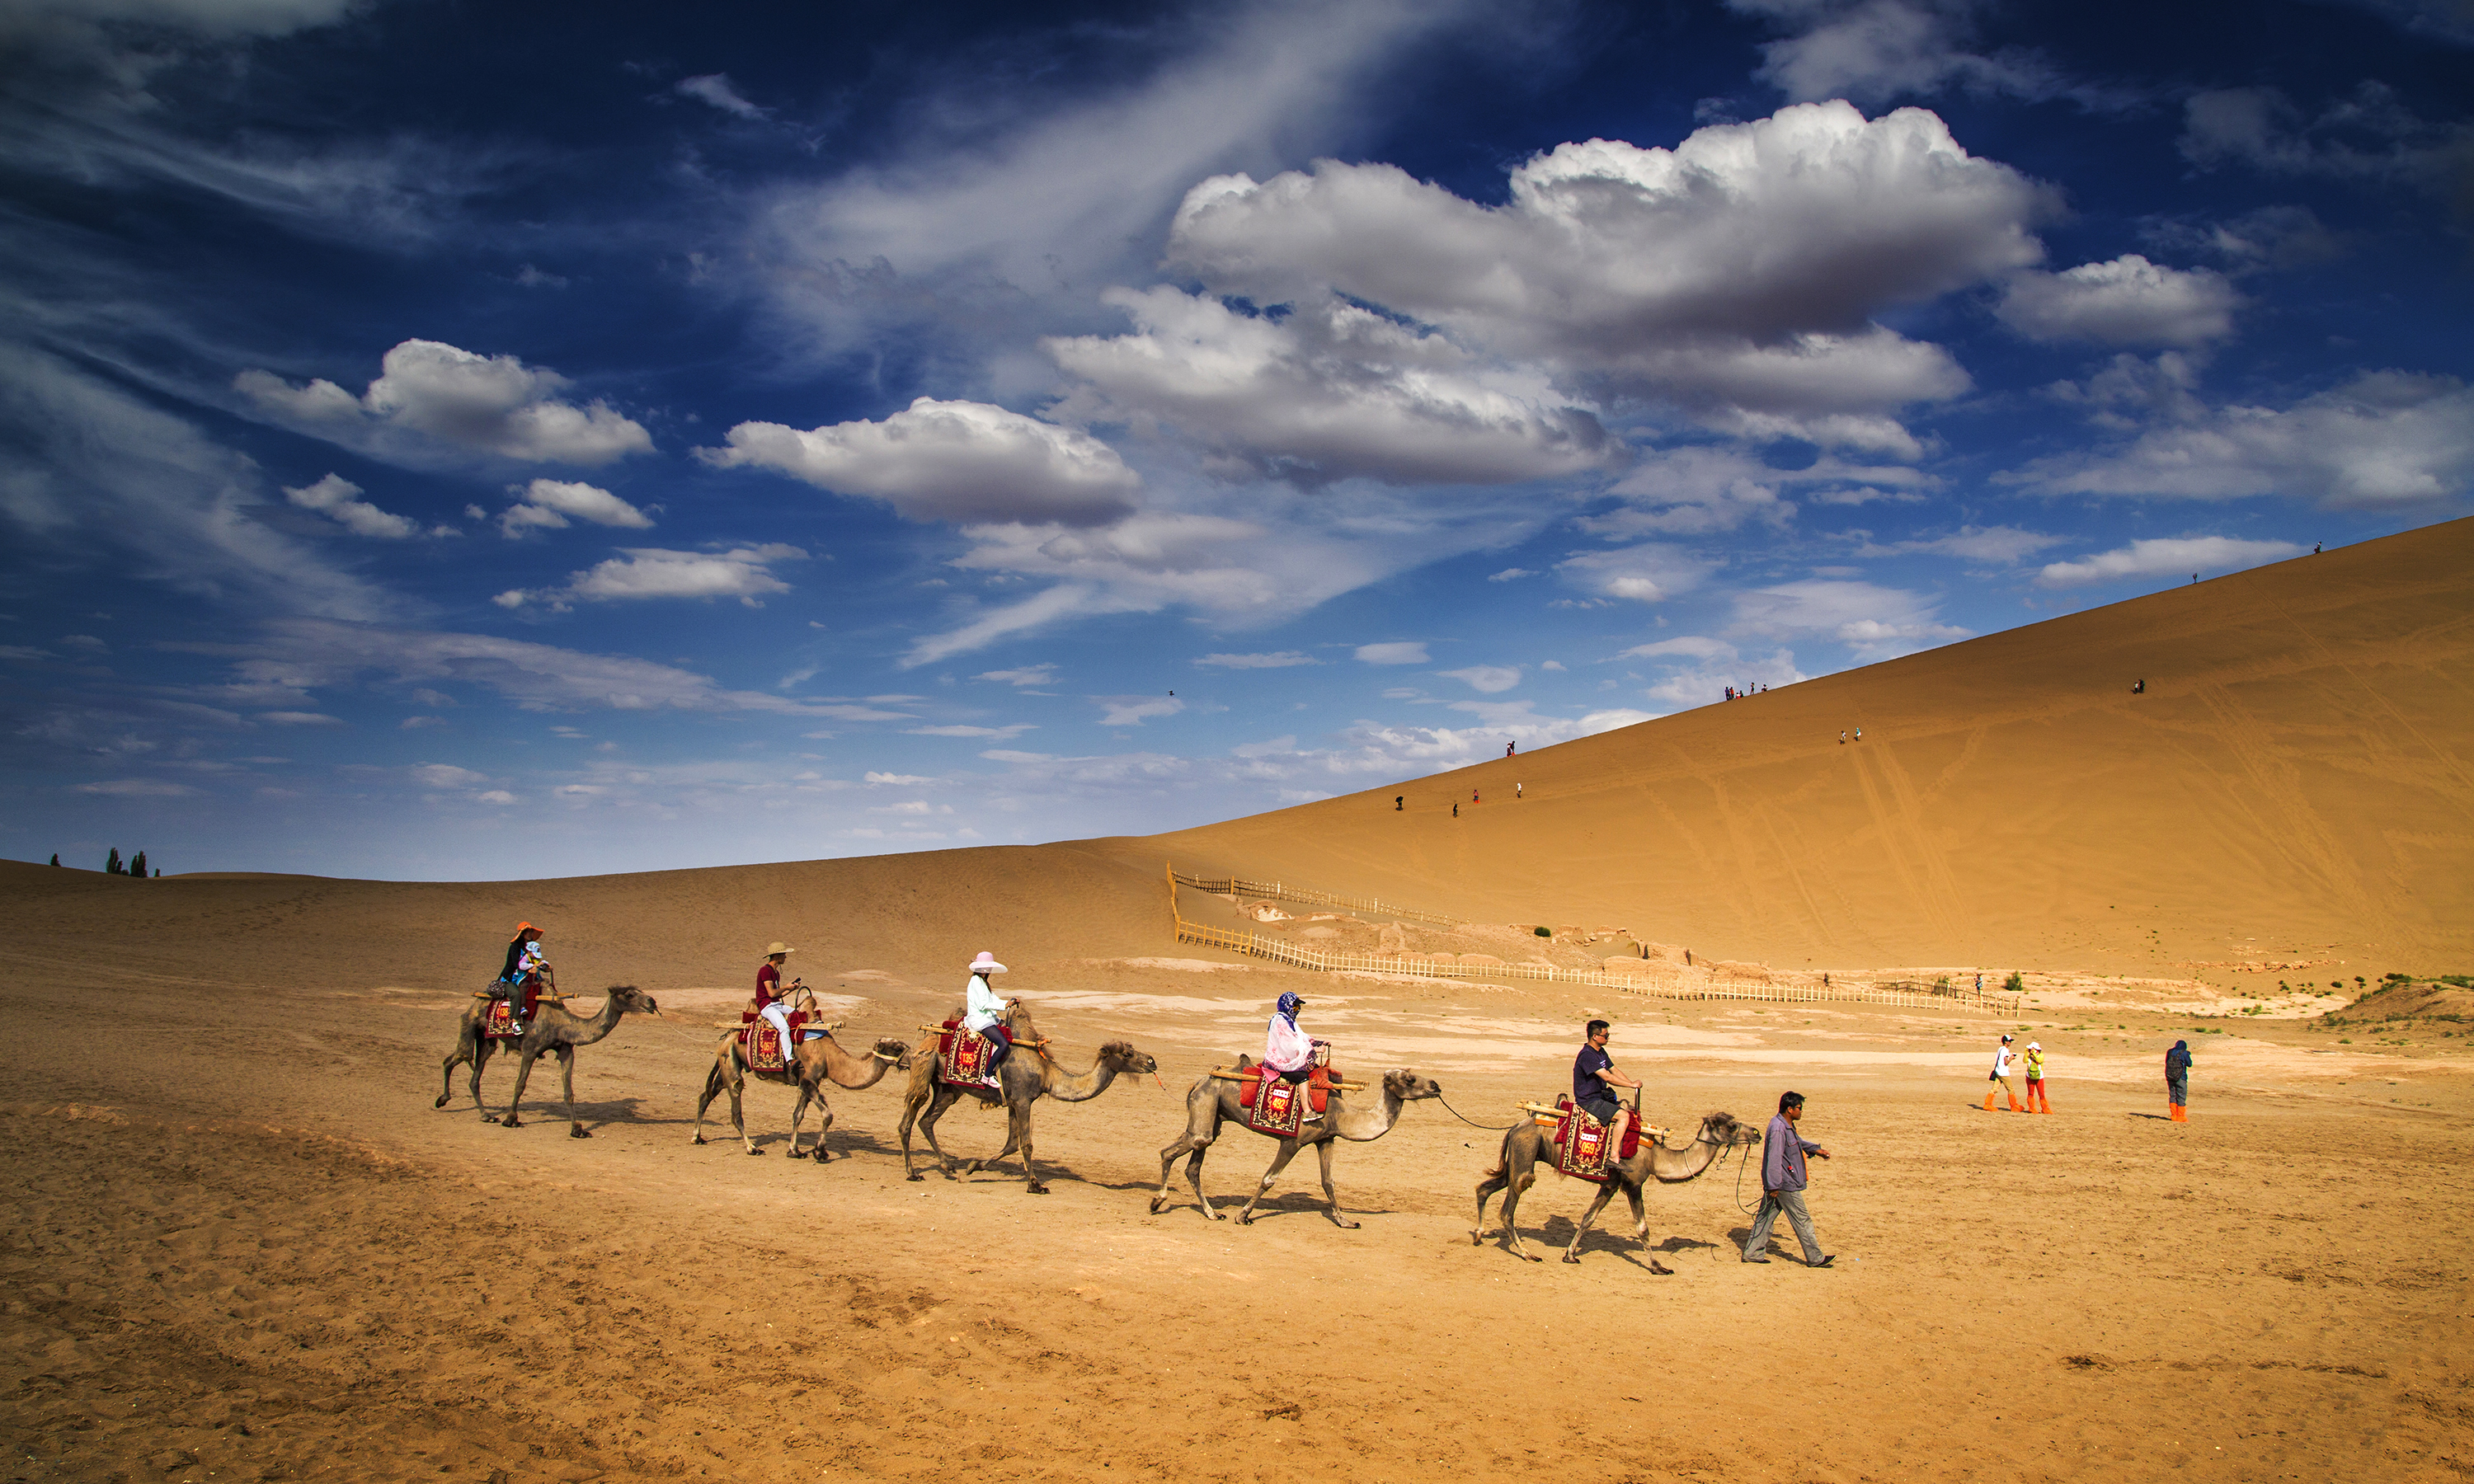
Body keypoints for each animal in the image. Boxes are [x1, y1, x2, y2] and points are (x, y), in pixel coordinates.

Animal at [435, 984, 663, 1138]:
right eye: (629, 994)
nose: (652, 1001)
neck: (561, 1025)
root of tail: (475, 1001)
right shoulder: (530, 1049)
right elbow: (520, 1085)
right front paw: (511, 1119)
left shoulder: (565, 1051)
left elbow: (568, 1093)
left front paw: (578, 1129)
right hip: (469, 1022)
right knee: (455, 1058)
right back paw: (443, 1100)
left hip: (486, 1038)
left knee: (475, 1072)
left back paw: (486, 1115)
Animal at [693, 1024, 915, 1167]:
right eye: (898, 1048)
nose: (913, 1059)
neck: (829, 1057)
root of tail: (727, 1037)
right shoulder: (808, 1079)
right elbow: (828, 1115)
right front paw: (820, 1151)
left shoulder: (808, 1081)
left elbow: (797, 1115)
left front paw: (794, 1150)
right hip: (730, 1063)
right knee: (735, 1106)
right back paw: (751, 1147)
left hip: (730, 1064)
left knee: (706, 1095)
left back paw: (697, 1137)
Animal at [896, 999, 1153, 1192]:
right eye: (1128, 1054)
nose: (1152, 1061)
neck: (1047, 1074)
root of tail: (927, 1038)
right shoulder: (1022, 1100)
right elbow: (1026, 1144)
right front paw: (1035, 1185)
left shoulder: (1012, 1102)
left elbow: (1011, 1143)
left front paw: (974, 1166)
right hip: (925, 1068)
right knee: (908, 1119)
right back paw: (913, 1172)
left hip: (948, 1089)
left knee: (926, 1121)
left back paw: (948, 1168)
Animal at [1143, 1059, 1445, 1237]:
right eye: (1409, 1079)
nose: (1436, 1085)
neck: (1341, 1114)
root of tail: (1199, 1081)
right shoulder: (1293, 1141)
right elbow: (1269, 1179)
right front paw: (1243, 1216)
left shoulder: (1326, 1139)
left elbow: (1328, 1182)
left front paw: (1345, 1221)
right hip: (1205, 1108)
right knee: (1170, 1152)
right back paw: (1158, 1202)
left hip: (1212, 1117)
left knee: (1193, 1166)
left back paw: (1212, 1213)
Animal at [1465, 1093, 1761, 1266]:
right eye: (1731, 1125)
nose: (1757, 1133)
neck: (1656, 1157)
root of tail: (1515, 1127)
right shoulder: (1633, 1183)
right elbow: (1642, 1228)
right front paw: (1658, 1267)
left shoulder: (1610, 1184)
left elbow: (1588, 1218)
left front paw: (1570, 1255)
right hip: (1525, 1157)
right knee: (1508, 1209)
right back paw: (1528, 1254)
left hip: (1515, 1161)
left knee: (1484, 1188)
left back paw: (1479, 1235)